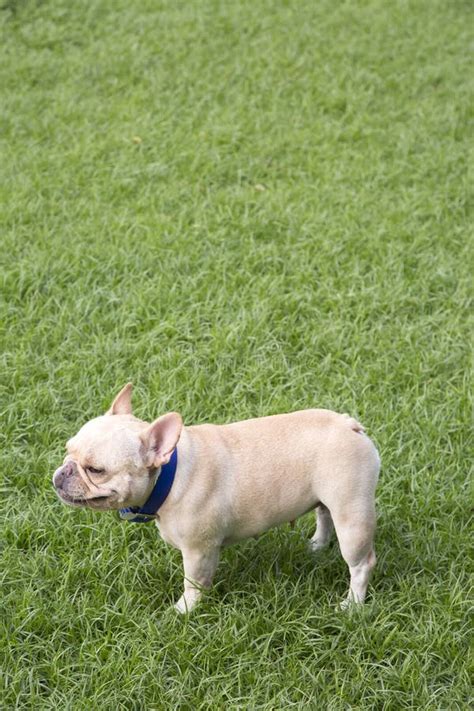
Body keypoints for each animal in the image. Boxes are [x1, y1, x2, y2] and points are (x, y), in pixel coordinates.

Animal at [52, 384, 378, 612]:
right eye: (68, 449)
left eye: (96, 470)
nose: (62, 472)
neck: (170, 476)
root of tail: (350, 425)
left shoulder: (199, 550)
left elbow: (193, 583)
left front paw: (184, 610)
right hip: (326, 497)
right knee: (324, 514)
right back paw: (317, 545)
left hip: (352, 517)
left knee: (361, 563)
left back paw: (352, 606)